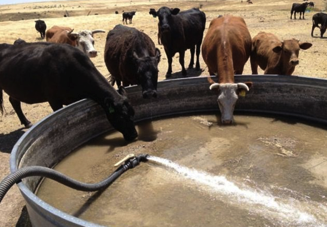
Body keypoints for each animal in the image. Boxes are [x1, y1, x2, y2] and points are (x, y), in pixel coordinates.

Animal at [0, 41, 138, 140]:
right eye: (121, 117)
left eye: (133, 113)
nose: (134, 135)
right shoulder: (53, 99)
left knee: (14, 101)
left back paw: (26, 122)